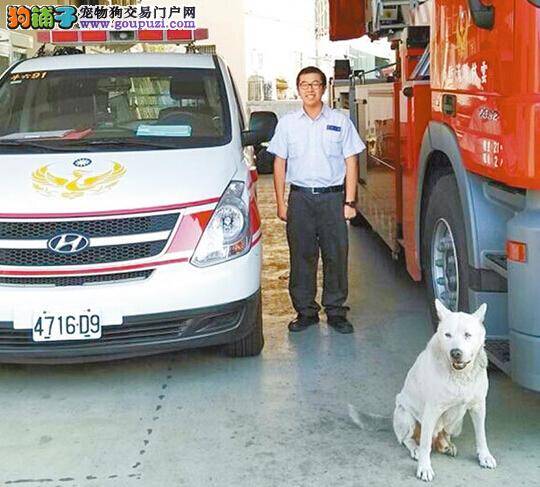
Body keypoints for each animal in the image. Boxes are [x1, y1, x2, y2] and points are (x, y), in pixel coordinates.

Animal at [392, 300, 498, 482]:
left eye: (467, 335)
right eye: (447, 335)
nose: (455, 353)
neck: (460, 375)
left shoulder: (478, 406)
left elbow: (481, 435)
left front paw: (484, 456)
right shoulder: (432, 410)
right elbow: (425, 445)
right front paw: (424, 467)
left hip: (457, 424)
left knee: (444, 435)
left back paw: (446, 445)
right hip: (406, 416)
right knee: (409, 439)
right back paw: (415, 449)